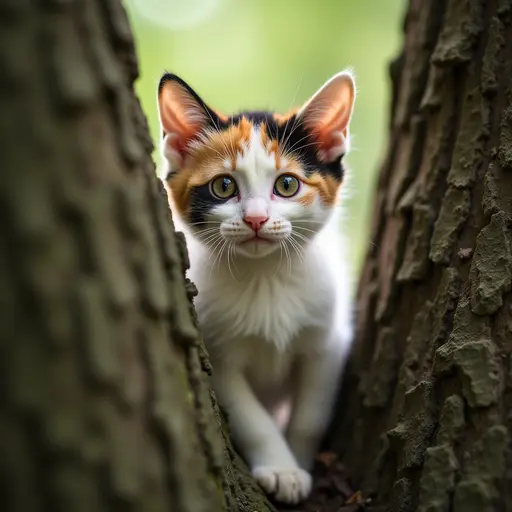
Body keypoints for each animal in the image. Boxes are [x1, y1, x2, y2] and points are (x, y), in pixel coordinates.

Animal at [157, 71, 356, 504]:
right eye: (223, 186)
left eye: (287, 184)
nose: (256, 219)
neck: (265, 275)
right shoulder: (216, 354)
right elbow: (251, 418)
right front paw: (281, 469)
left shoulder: (328, 341)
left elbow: (311, 415)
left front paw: (298, 462)